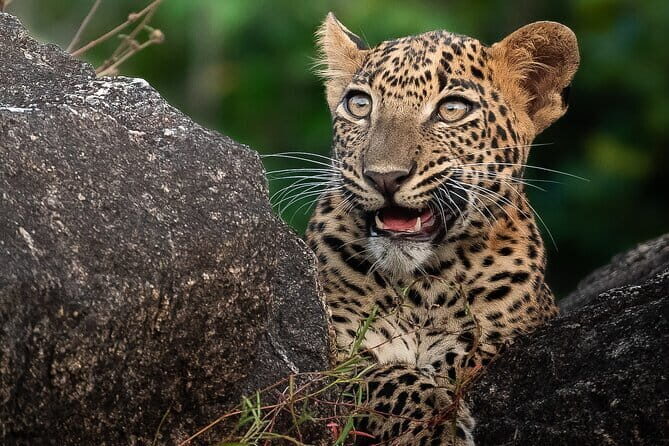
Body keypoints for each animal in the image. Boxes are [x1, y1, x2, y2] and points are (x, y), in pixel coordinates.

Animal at [304, 13, 579, 445]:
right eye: (360, 105)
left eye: (451, 109)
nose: (384, 177)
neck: (420, 287)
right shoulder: (338, 349)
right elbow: (385, 376)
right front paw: (435, 427)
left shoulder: (498, 337)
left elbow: (461, 359)